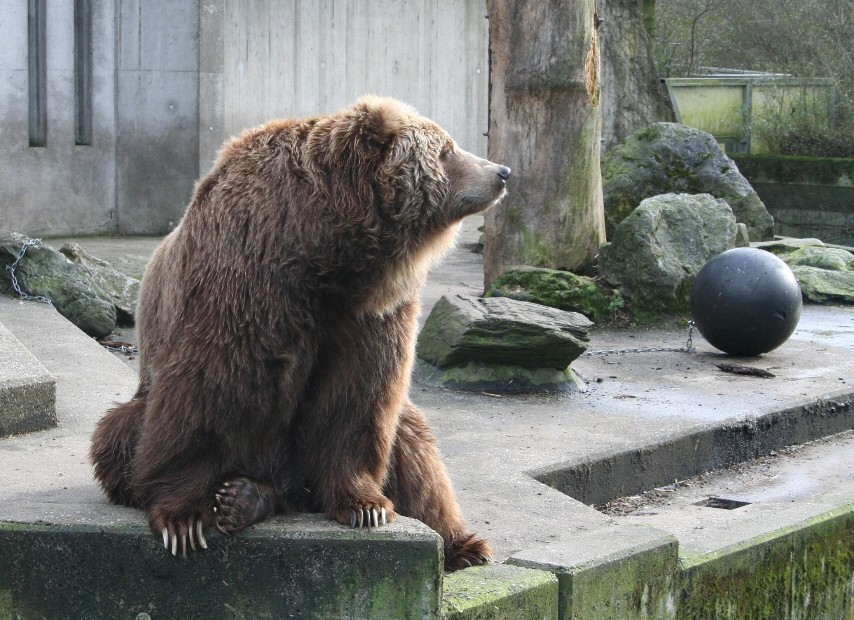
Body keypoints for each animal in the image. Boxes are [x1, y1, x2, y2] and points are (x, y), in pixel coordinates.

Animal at [90, 95, 512, 572]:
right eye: (446, 150)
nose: (501, 171)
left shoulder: (369, 311)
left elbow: (358, 397)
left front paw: (366, 505)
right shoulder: (246, 275)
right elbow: (205, 385)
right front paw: (183, 517)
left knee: (412, 445)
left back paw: (463, 544)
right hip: (148, 410)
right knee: (117, 436)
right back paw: (239, 496)